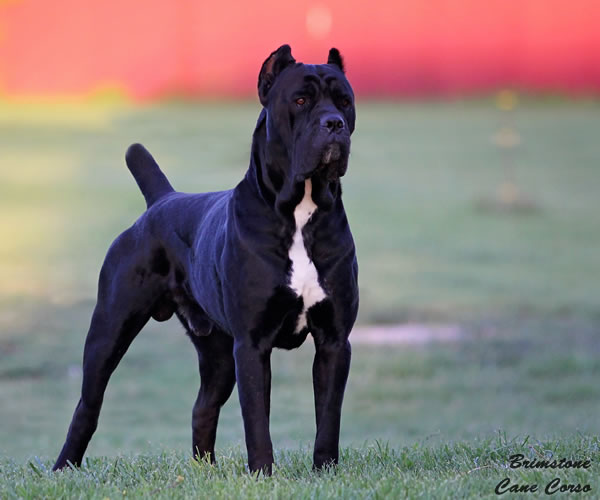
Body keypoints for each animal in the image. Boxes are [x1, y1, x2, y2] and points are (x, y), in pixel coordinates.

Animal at [52, 45, 356, 474]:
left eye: (344, 102)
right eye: (300, 100)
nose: (334, 124)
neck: (300, 209)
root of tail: (161, 200)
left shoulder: (334, 341)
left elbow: (328, 416)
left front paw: (324, 471)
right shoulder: (251, 345)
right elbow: (256, 420)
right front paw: (263, 474)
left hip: (217, 355)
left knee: (202, 407)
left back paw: (204, 472)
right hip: (109, 331)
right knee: (87, 406)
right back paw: (64, 468)